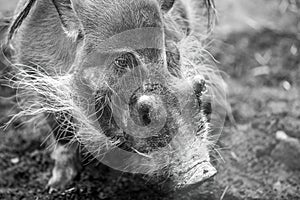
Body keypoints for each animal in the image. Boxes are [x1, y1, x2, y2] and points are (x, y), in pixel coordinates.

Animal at [2, 0, 227, 191]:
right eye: (121, 61)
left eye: (172, 52)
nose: (202, 173)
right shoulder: (39, 84)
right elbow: (62, 138)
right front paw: (56, 186)